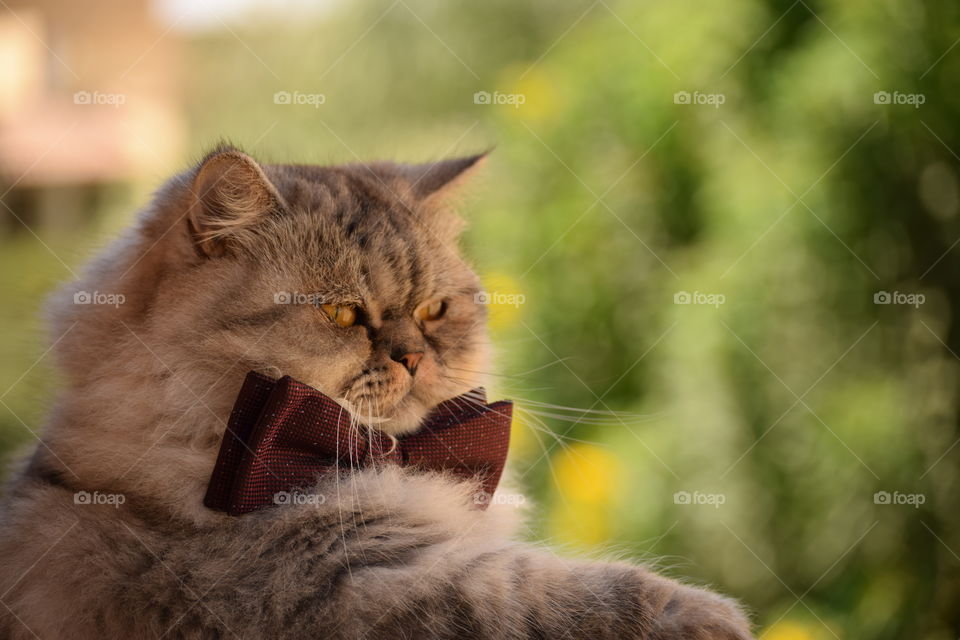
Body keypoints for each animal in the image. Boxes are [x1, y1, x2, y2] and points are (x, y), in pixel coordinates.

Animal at [0, 146, 752, 640]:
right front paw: (716, 615)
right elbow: (561, 593)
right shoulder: (351, 582)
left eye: (433, 311)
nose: (414, 357)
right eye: (341, 315)